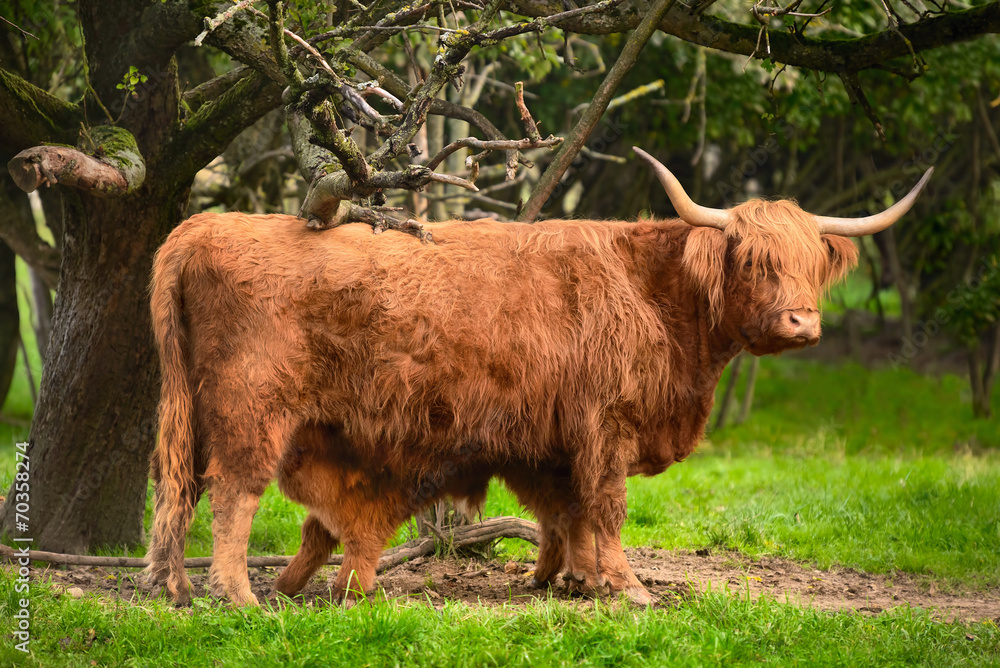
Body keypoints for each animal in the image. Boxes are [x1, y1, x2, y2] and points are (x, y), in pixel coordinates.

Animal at [145, 149, 932, 608]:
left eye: (810, 264)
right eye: (756, 260)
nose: (803, 323)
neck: (657, 296)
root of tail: (203, 227)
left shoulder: (557, 438)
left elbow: (567, 511)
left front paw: (569, 579)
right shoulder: (606, 426)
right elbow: (607, 508)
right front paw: (627, 588)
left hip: (194, 409)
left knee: (179, 490)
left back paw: (177, 586)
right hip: (251, 410)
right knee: (234, 494)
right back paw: (237, 597)